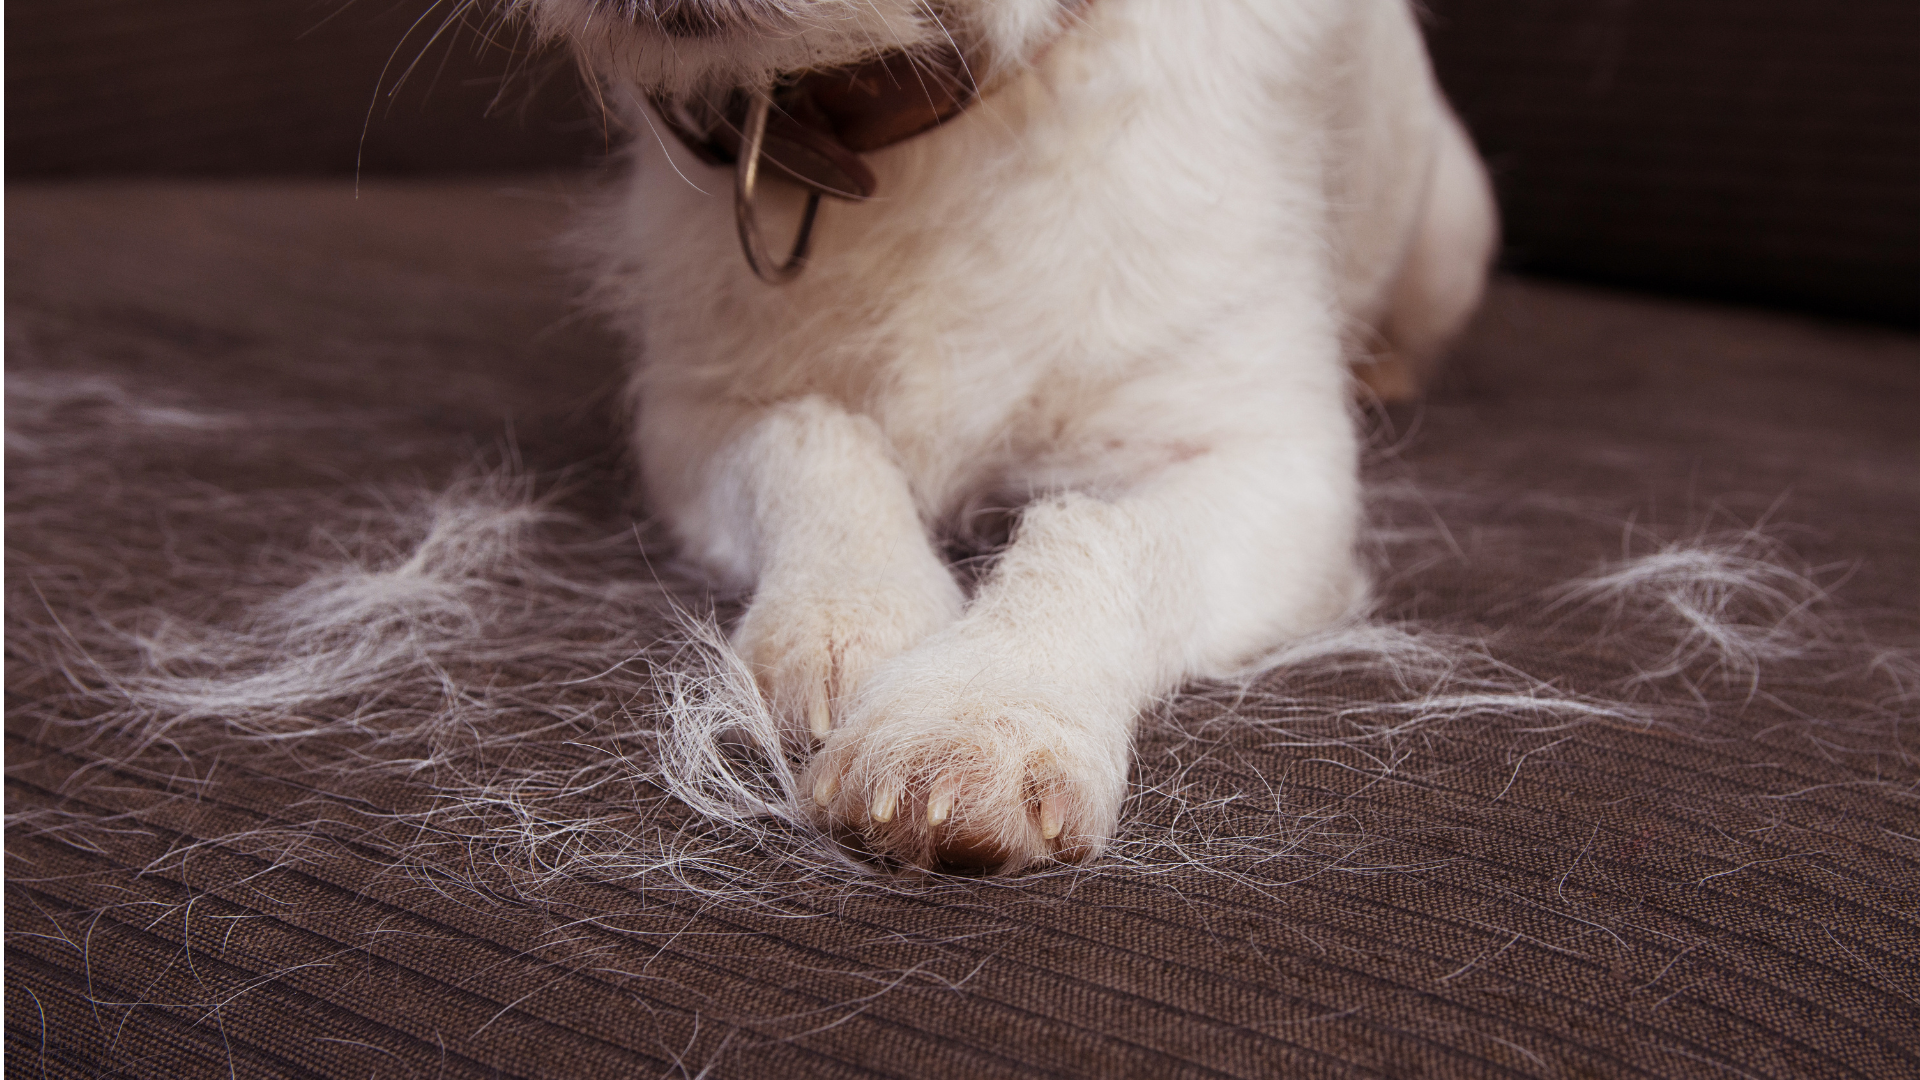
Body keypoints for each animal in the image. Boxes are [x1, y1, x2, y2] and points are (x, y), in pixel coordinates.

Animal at [510, 0, 1497, 864]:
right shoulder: (696, 416)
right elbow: (810, 438)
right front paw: (849, 610)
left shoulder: (1275, 463)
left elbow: (1105, 533)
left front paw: (980, 710)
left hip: (1453, 232)